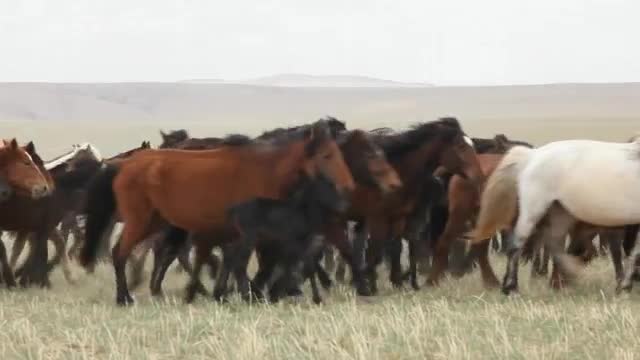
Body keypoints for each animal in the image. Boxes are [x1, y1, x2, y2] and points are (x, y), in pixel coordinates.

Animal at [79, 119, 356, 306]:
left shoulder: (236, 231)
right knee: (120, 252)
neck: (264, 168)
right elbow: (244, 261)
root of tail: (124, 164)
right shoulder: (250, 230)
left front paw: (225, 293)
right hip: (140, 220)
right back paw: (124, 298)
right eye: (327, 155)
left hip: (156, 221)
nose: (348, 187)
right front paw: (248, 293)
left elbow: (233, 260)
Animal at [468, 136, 640, 294]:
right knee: (518, 243)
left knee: (553, 242)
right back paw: (511, 287)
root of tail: (532, 155)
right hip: (534, 208)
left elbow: (634, 251)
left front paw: (625, 285)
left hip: (560, 211)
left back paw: (566, 274)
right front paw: (625, 285)